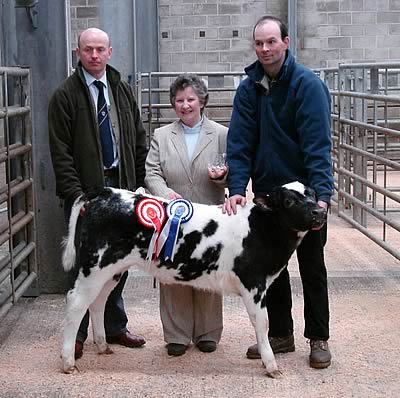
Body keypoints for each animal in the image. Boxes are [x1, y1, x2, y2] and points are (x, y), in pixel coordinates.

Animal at [61, 182, 326, 378]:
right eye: (289, 201)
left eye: (313, 194)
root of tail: (106, 192)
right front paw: (271, 366)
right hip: (95, 265)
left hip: (112, 270)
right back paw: (68, 362)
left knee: (97, 302)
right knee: (76, 303)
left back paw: (103, 347)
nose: (320, 212)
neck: (261, 229)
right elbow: (261, 323)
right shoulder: (253, 284)